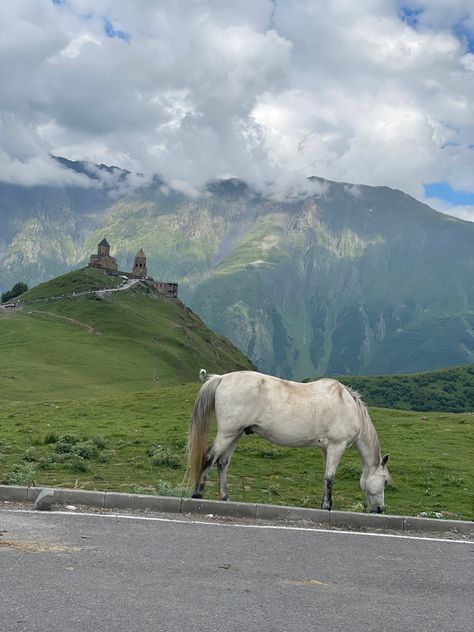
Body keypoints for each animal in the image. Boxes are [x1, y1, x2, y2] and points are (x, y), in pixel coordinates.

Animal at [183, 370, 390, 512]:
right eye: (386, 481)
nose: (380, 509)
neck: (348, 405)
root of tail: (222, 378)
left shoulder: (326, 449)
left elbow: (326, 477)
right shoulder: (336, 446)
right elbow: (330, 477)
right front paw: (327, 506)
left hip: (236, 433)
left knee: (222, 462)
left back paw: (224, 497)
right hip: (228, 432)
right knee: (209, 457)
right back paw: (198, 493)